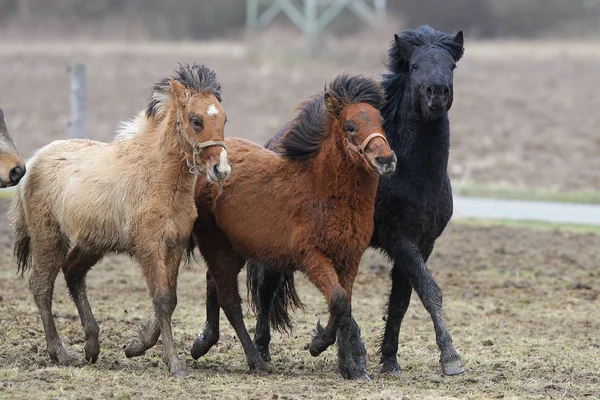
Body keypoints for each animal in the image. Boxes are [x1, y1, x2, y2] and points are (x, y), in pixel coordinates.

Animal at [8, 63, 231, 378]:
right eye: (196, 120)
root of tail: (34, 159)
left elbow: (170, 298)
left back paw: (92, 346)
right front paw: (174, 364)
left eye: (224, 118)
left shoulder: (174, 245)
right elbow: (162, 299)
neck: (159, 177)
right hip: (49, 238)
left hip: (92, 243)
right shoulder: (150, 246)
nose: (221, 169)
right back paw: (60, 352)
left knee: (72, 272)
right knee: (41, 285)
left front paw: (135, 346)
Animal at [185, 73, 396, 380]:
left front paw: (350, 368)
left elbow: (344, 307)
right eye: (350, 126)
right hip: (217, 245)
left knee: (213, 283)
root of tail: (206, 167)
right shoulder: (313, 258)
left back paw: (202, 343)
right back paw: (255, 360)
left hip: (234, 248)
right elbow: (338, 301)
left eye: (380, 121)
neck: (321, 190)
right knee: (229, 299)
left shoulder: (350, 259)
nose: (386, 160)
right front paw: (318, 344)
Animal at [246, 25, 466, 378]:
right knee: (267, 289)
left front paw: (389, 360)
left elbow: (402, 300)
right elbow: (430, 289)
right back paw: (264, 351)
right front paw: (450, 357)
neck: (412, 173)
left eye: (452, 65)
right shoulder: (399, 238)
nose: (437, 93)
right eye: (415, 65)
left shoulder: (423, 241)